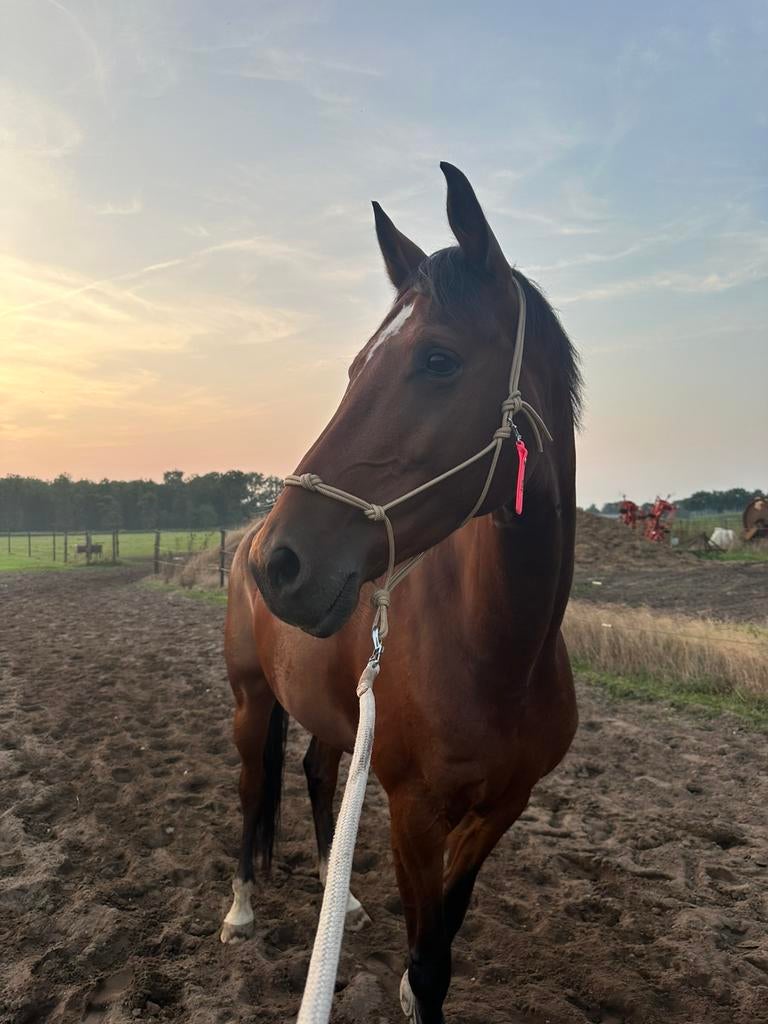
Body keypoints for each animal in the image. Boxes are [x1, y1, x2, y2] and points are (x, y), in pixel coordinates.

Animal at [220, 162, 582, 1024]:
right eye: (356, 367)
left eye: (439, 360)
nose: (280, 562)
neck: (499, 652)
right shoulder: (414, 814)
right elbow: (424, 957)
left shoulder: (500, 809)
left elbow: (440, 949)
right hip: (252, 701)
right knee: (251, 790)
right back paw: (241, 909)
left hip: (331, 709)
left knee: (317, 772)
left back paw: (339, 901)